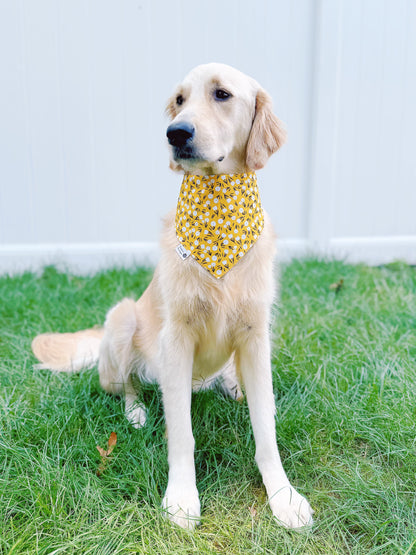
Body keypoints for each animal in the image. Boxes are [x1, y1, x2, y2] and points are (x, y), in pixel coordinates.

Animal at [31, 63, 312, 532]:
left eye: (222, 94)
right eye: (179, 101)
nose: (176, 133)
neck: (218, 209)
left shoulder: (255, 335)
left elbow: (266, 432)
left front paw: (284, 496)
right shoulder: (176, 339)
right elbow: (181, 432)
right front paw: (181, 497)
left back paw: (231, 387)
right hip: (123, 319)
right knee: (126, 385)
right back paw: (136, 412)